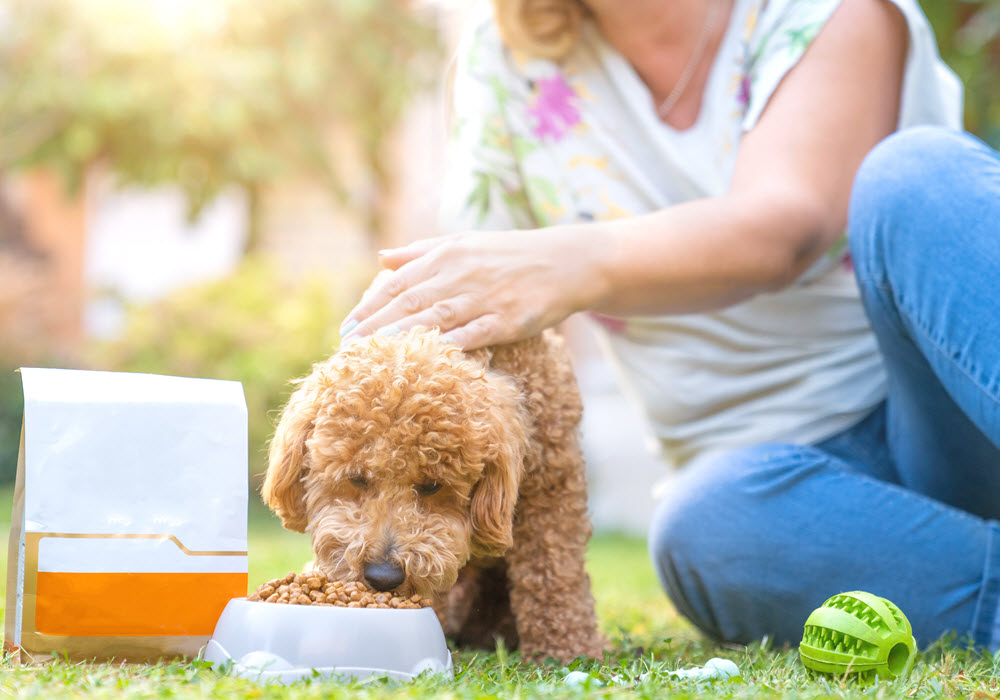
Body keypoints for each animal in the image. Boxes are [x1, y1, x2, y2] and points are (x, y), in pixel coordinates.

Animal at [264, 326, 600, 660]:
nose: (383, 576)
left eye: (432, 485)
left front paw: (567, 650)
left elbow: (555, 572)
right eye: (356, 479)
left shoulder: (551, 489)